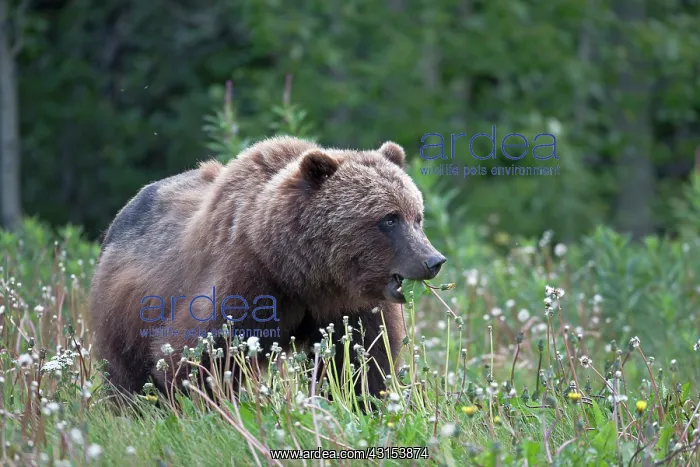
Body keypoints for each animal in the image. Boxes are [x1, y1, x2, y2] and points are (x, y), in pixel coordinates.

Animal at [89, 136, 446, 402]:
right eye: (389, 219)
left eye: (417, 216)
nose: (433, 260)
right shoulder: (245, 282)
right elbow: (197, 354)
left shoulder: (351, 307)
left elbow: (362, 359)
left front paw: (362, 400)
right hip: (124, 312)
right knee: (126, 374)